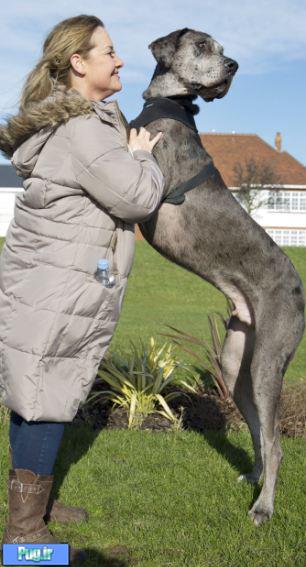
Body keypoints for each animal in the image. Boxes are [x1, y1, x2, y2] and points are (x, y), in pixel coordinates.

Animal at [130, 28, 306, 524]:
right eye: (204, 46)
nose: (234, 66)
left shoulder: (150, 188)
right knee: (259, 432)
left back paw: (263, 508)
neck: (169, 103)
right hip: (234, 361)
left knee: (276, 442)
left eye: (219, 48)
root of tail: (298, 288)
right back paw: (253, 478)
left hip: (268, 359)